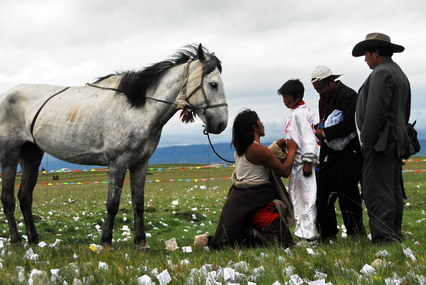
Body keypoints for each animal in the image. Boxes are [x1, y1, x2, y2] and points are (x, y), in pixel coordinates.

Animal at [0, 43, 228, 250]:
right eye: (213, 84)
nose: (221, 124)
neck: (138, 107)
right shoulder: (118, 163)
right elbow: (112, 204)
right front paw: (106, 242)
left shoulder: (140, 164)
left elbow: (138, 203)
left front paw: (141, 243)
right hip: (10, 155)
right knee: (8, 199)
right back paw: (16, 241)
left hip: (31, 154)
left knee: (25, 197)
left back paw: (33, 239)